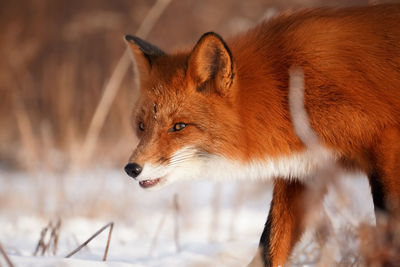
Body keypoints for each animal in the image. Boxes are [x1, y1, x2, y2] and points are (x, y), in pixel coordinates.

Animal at [123, 4, 400, 267]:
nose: (131, 169)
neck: (288, 90)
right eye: (141, 126)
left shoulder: (385, 145)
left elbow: (389, 229)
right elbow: (270, 245)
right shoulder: (301, 170)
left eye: (179, 126)